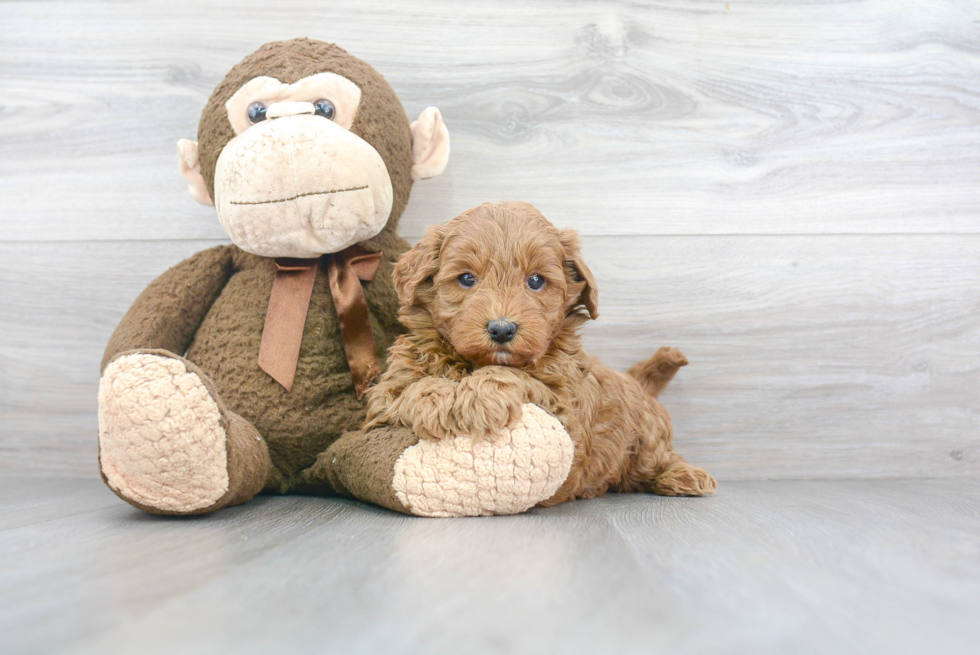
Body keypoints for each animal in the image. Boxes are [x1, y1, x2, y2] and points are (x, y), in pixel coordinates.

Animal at [364, 200, 716, 502]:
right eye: (466, 278)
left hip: (647, 437)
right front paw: (435, 400)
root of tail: (636, 382)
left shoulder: (566, 409)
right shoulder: (384, 396)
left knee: (658, 457)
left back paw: (685, 476)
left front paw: (479, 398)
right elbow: (407, 390)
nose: (502, 329)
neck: (471, 362)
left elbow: (514, 376)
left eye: (535, 281)